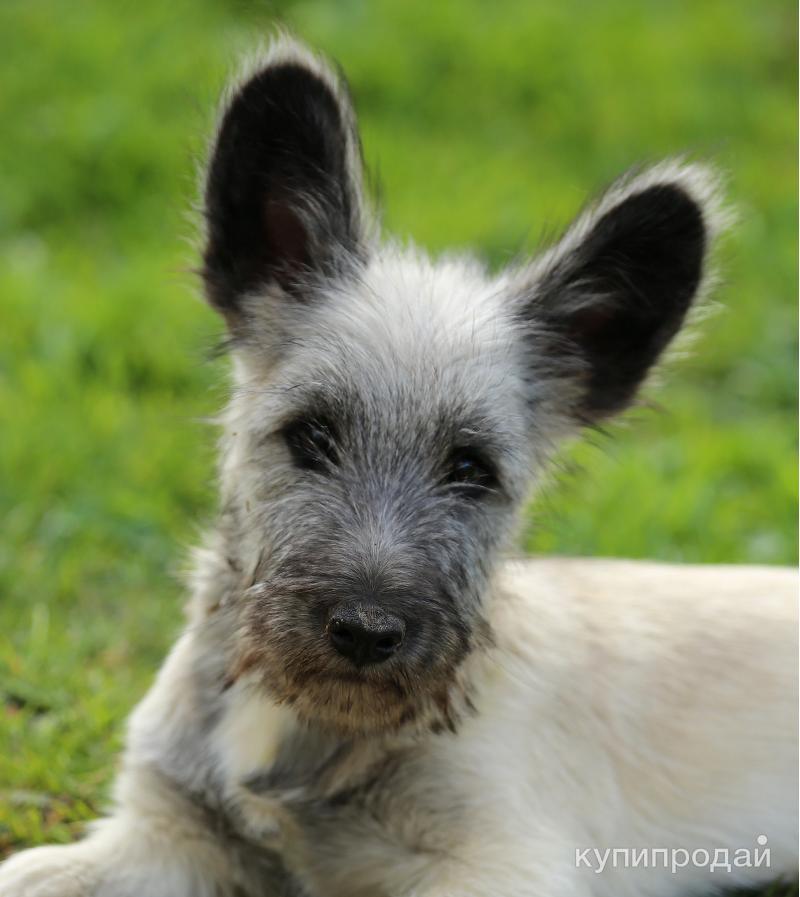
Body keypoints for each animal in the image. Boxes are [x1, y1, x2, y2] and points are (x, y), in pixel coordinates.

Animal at [1, 35, 796, 897]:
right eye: (311, 436)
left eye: (471, 468)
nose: (366, 631)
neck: (300, 720)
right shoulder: (158, 830)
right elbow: (34, 870)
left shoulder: (505, 860)